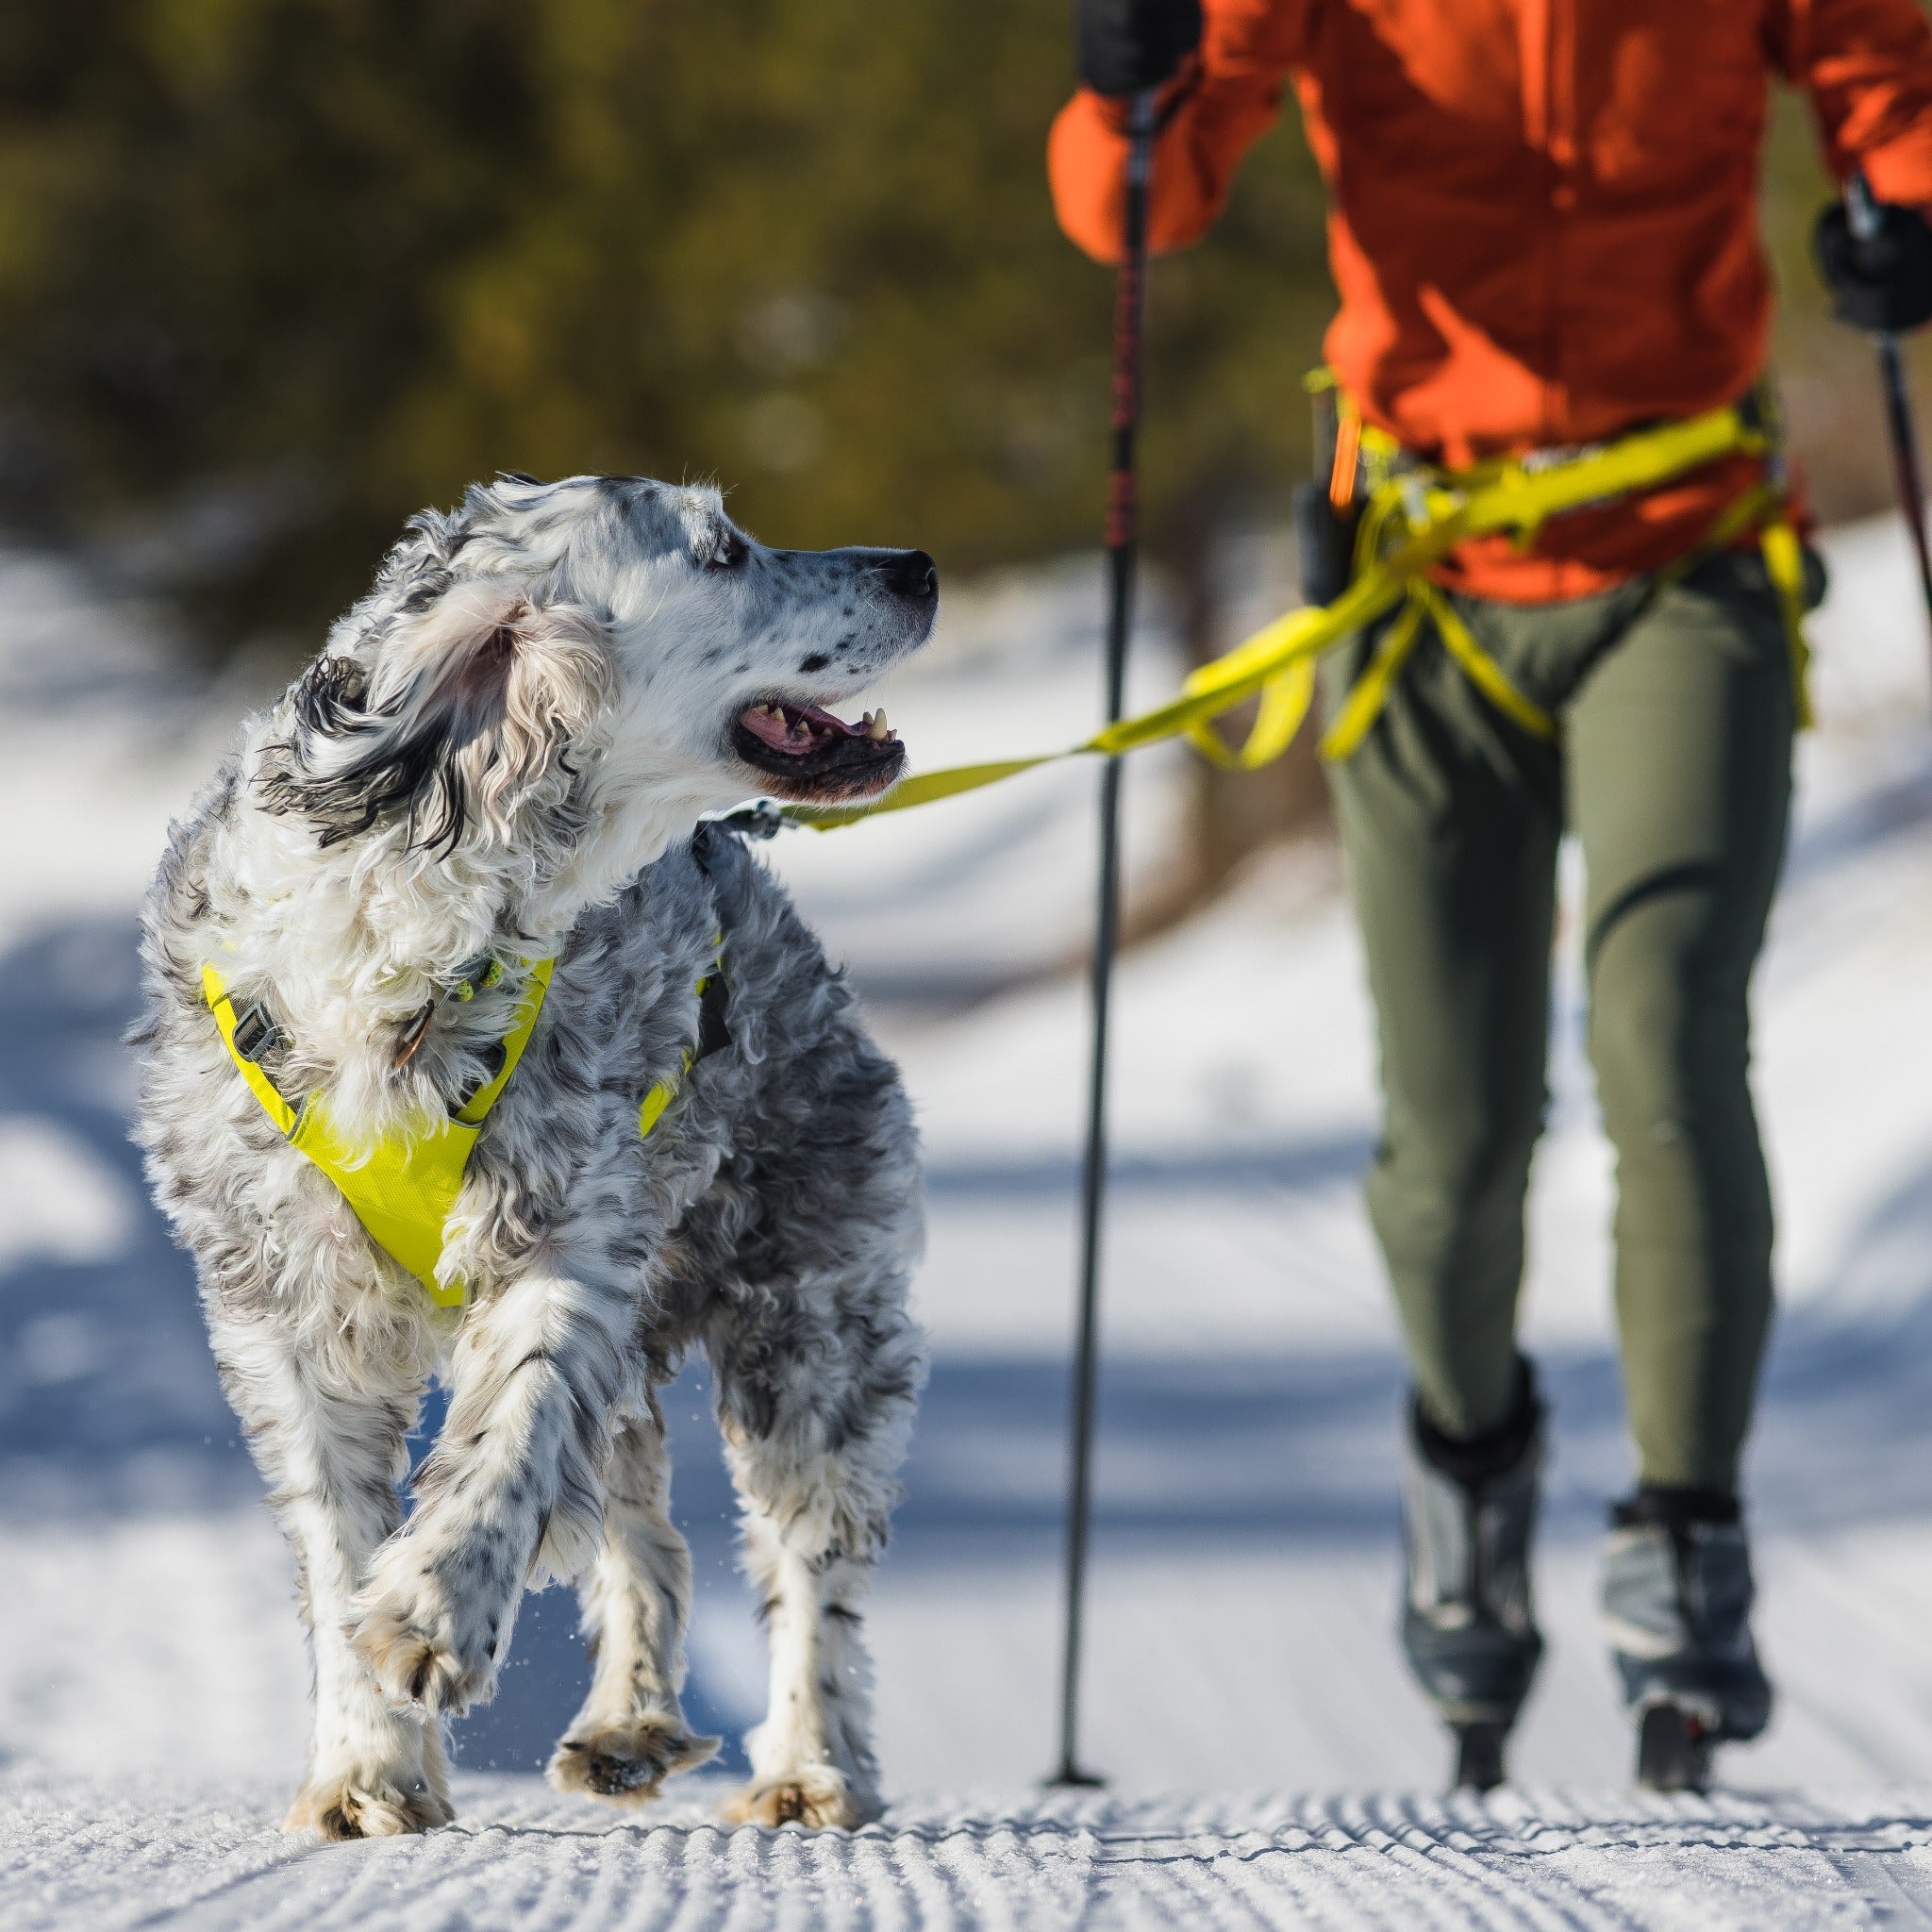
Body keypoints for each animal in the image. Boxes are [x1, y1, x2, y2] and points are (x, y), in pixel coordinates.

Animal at [128, 475, 935, 1831]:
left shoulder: (567, 1238)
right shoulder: (283, 1308)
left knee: (804, 1567)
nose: (918, 565)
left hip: (812, 1321)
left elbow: (508, 1434)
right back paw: (627, 1724)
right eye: (722, 551)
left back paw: (809, 1764)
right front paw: (366, 1767)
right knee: (648, 1538)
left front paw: (431, 1612)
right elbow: (335, 1539)